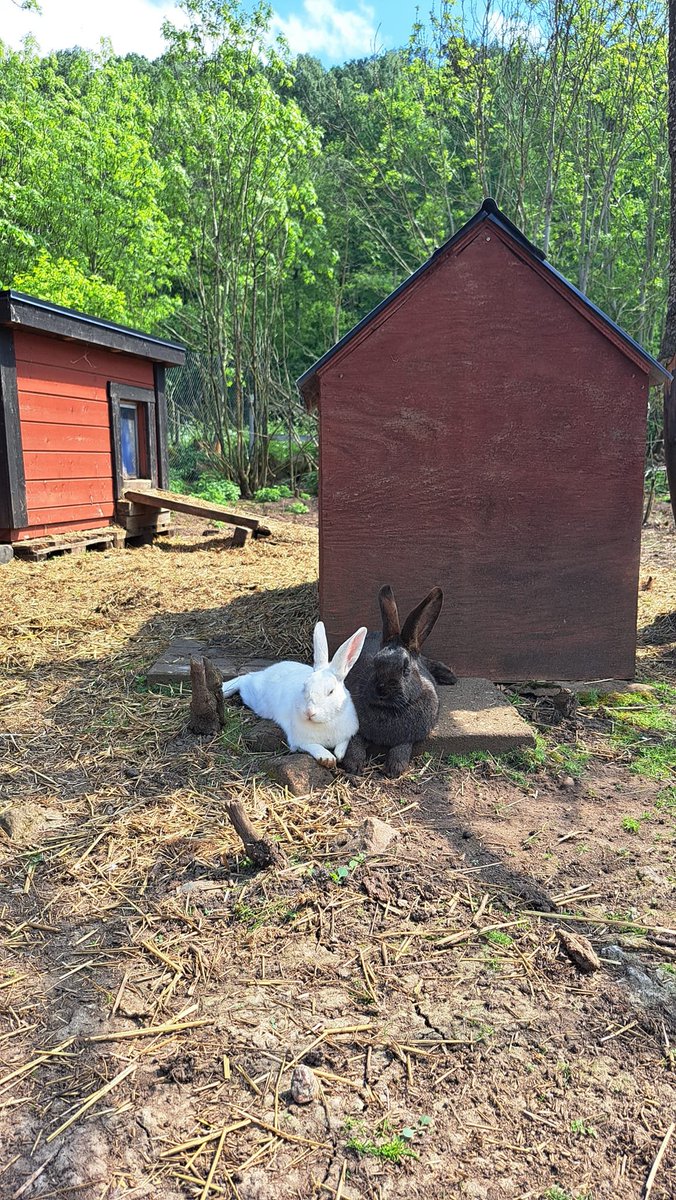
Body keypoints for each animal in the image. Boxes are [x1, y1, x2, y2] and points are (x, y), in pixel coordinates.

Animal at [222, 621, 367, 768]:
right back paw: (224, 689)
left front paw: (339, 754)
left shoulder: (348, 733)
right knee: (245, 678)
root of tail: (268, 671)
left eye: (331, 691)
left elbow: (343, 742)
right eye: (305, 686)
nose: (309, 712)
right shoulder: (300, 741)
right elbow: (314, 746)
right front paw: (327, 758)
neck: (325, 722)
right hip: (256, 698)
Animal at [342, 584, 456, 778]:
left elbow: (402, 747)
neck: (387, 710)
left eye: (405, 670)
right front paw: (353, 766)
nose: (381, 690)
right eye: (375, 664)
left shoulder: (410, 737)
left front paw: (394, 769)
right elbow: (354, 742)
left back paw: (449, 676)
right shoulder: (355, 729)